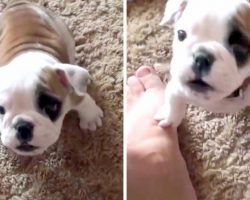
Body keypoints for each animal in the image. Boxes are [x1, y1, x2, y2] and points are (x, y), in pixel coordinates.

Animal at [0, 0, 103, 155]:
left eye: (51, 105)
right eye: (0, 110)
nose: (22, 126)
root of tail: (19, 4)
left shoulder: (72, 92)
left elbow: (84, 100)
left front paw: (91, 118)